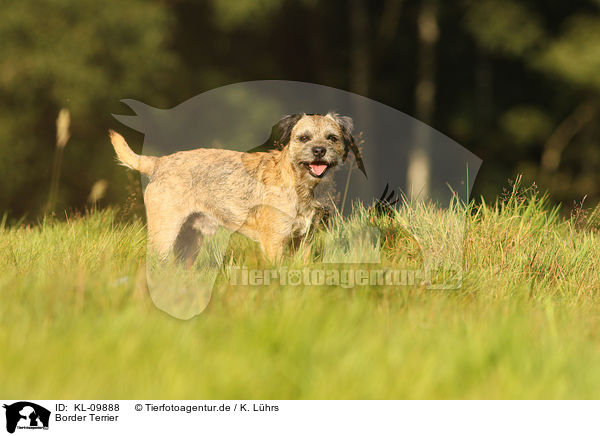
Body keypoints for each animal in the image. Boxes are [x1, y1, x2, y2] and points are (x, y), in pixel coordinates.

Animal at [108, 112, 366, 264]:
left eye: (332, 138)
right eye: (304, 138)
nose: (319, 150)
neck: (301, 185)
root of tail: (159, 162)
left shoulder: (304, 241)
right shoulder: (274, 241)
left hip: (189, 241)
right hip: (165, 232)